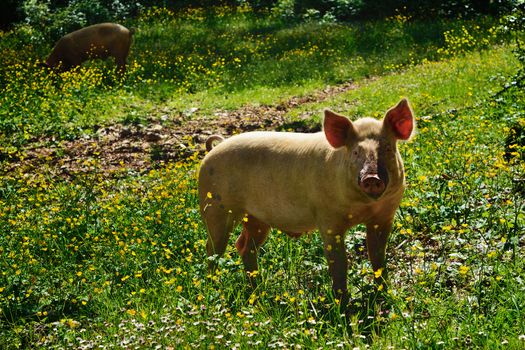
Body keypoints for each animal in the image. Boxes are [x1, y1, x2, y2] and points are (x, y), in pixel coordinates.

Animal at [199, 98, 416, 306]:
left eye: (388, 148)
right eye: (356, 152)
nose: (371, 177)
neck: (364, 205)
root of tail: (214, 149)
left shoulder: (384, 216)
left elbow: (377, 257)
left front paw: (386, 294)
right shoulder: (328, 219)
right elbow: (339, 263)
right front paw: (343, 308)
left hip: (255, 218)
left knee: (244, 246)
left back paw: (258, 291)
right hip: (214, 208)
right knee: (212, 250)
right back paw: (214, 289)